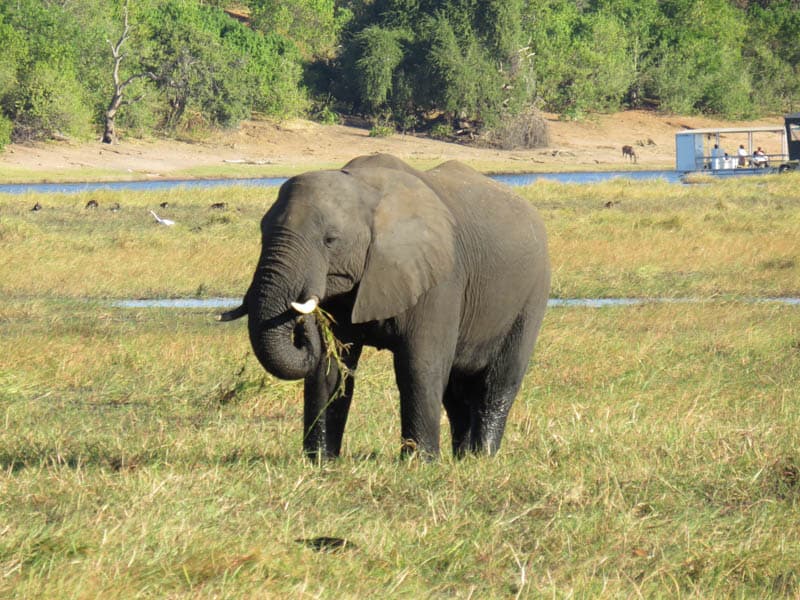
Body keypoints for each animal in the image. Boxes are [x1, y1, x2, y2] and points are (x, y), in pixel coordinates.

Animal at [220, 155, 552, 460]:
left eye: (330, 240)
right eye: (262, 231)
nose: (306, 317)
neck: (365, 189)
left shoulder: (438, 278)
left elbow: (419, 366)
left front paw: (419, 464)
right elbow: (330, 368)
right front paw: (320, 462)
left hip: (532, 295)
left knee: (498, 385)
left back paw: (482, 457)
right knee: (456, 392)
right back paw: (462, 458)